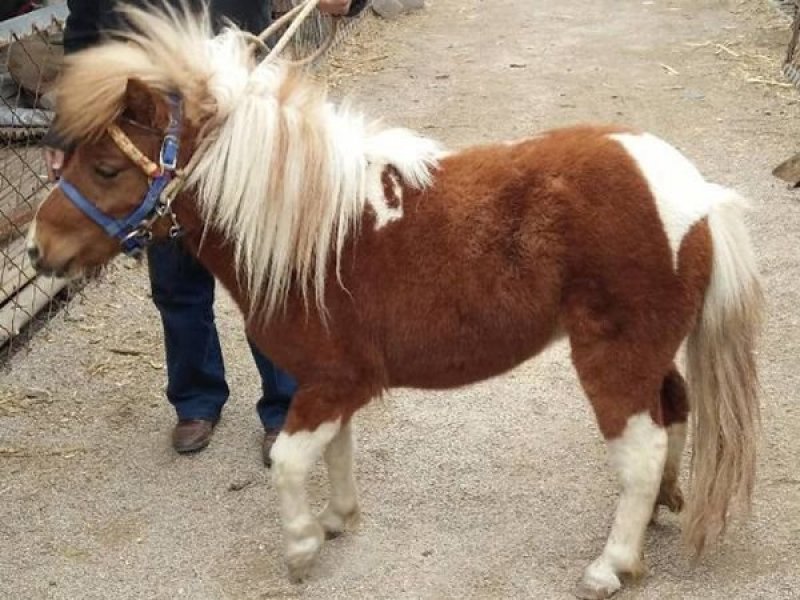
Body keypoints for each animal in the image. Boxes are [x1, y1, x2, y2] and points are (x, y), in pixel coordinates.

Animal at [27, 7, 763, 599]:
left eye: (107, 169)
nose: (37, 250)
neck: (309, 231)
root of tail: (698, 195)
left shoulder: (334, 380)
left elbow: (289, 461)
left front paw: (301, 548)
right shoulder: (329, 385)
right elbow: (335, 452)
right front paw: (337, 520)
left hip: (613, 358)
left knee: (639, 449)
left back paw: (612, 565)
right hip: (649, 354)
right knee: (673, 412)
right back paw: (662, 507)